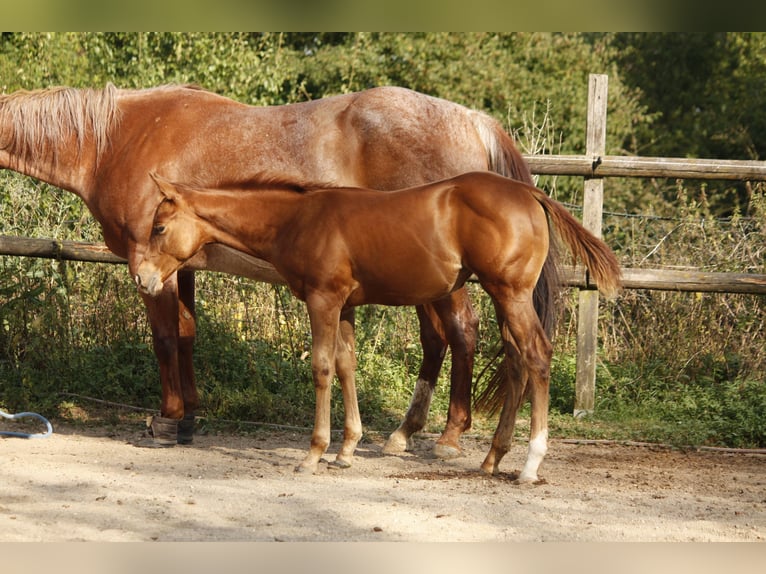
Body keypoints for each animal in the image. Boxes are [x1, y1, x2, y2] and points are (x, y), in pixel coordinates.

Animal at [0, 83, 552, 456]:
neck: (118, 138)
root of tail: (473, 120)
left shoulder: (153, 267)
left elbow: (163, 338)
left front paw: (167, 421)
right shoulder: (180, 264)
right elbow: (187, 334)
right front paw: (190, 418)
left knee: (462, 332)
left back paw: (449, 436)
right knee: (441, 339)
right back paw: (406, 433)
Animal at [135, 172, 620, 482]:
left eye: (159, 227)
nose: (142, 279)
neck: (298, 219)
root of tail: (530, 193)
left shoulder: (324, 300)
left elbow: (322, 368)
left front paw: (314, 453)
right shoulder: (346, 306)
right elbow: (347, 366)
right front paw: (347, 450)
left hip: (510, 293)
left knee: (536, 356)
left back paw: (530, 464)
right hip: (506, 297)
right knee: (518, 362)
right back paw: (491, 459)